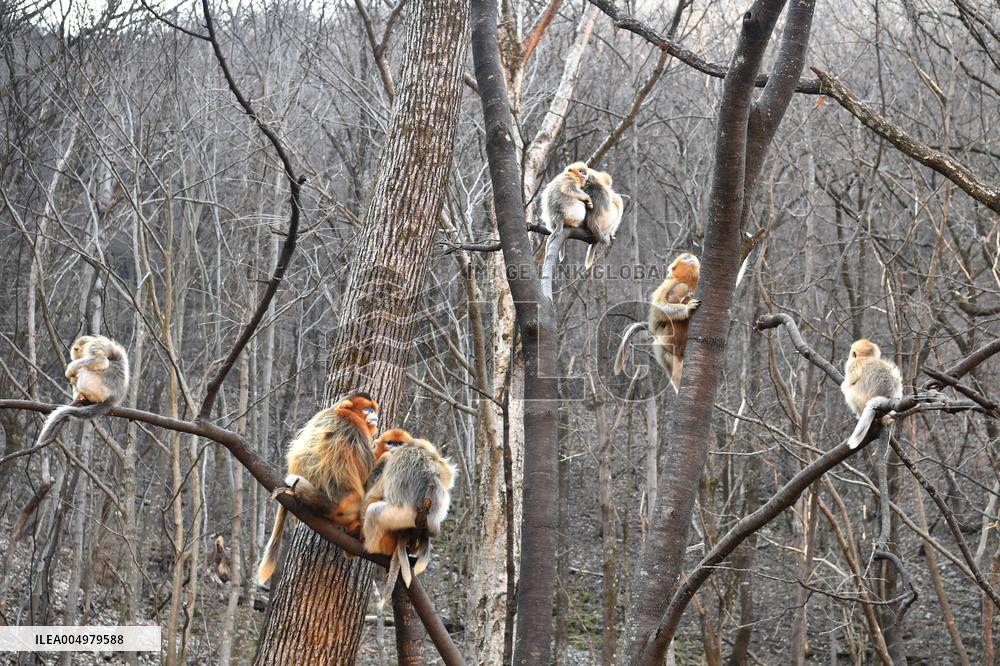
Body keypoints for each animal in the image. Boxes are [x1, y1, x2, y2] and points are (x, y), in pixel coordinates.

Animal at [256, 392, 379, 584]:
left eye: (373, 409)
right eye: (367, 409)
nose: (375, 416)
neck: (341, 413)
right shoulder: (355, 432)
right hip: (346, 508)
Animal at [362, 434, 456, 601]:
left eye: (399, 443)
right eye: (390, 442)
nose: (394, 447)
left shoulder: (390, 458)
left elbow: (371, 497)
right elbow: (447, 474)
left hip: (399, 516)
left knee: (372, 510)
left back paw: (372, 548)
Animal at [614, 253, 701, 393]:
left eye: (690, 257)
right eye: (685, 258)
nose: (690, 257)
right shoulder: (670, 283)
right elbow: (659, 308)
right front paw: (687, 309)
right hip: (666, 338)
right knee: (681, 290)